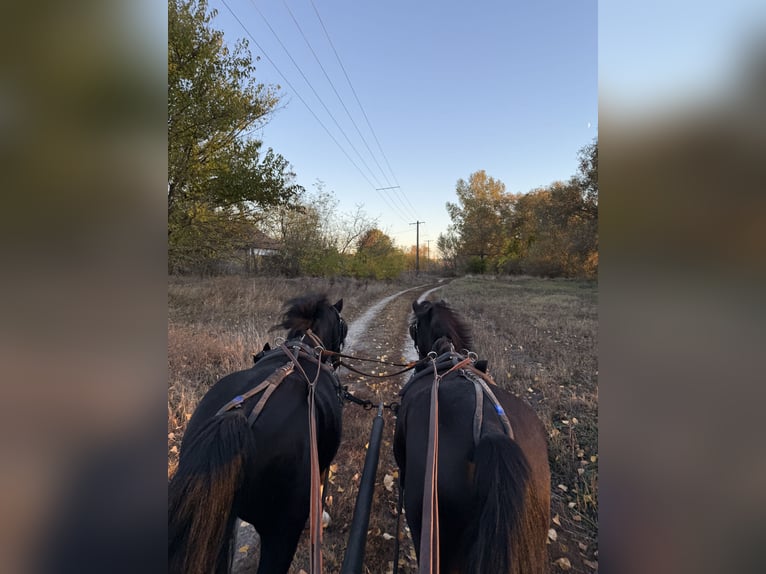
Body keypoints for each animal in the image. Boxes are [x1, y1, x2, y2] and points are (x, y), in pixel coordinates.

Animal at [168, 293, 348, 574]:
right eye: (344, 326)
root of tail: (238, 418)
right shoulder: (323, 463)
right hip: (281, 534)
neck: (307, 347)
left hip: (216, 531)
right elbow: (321, 487)